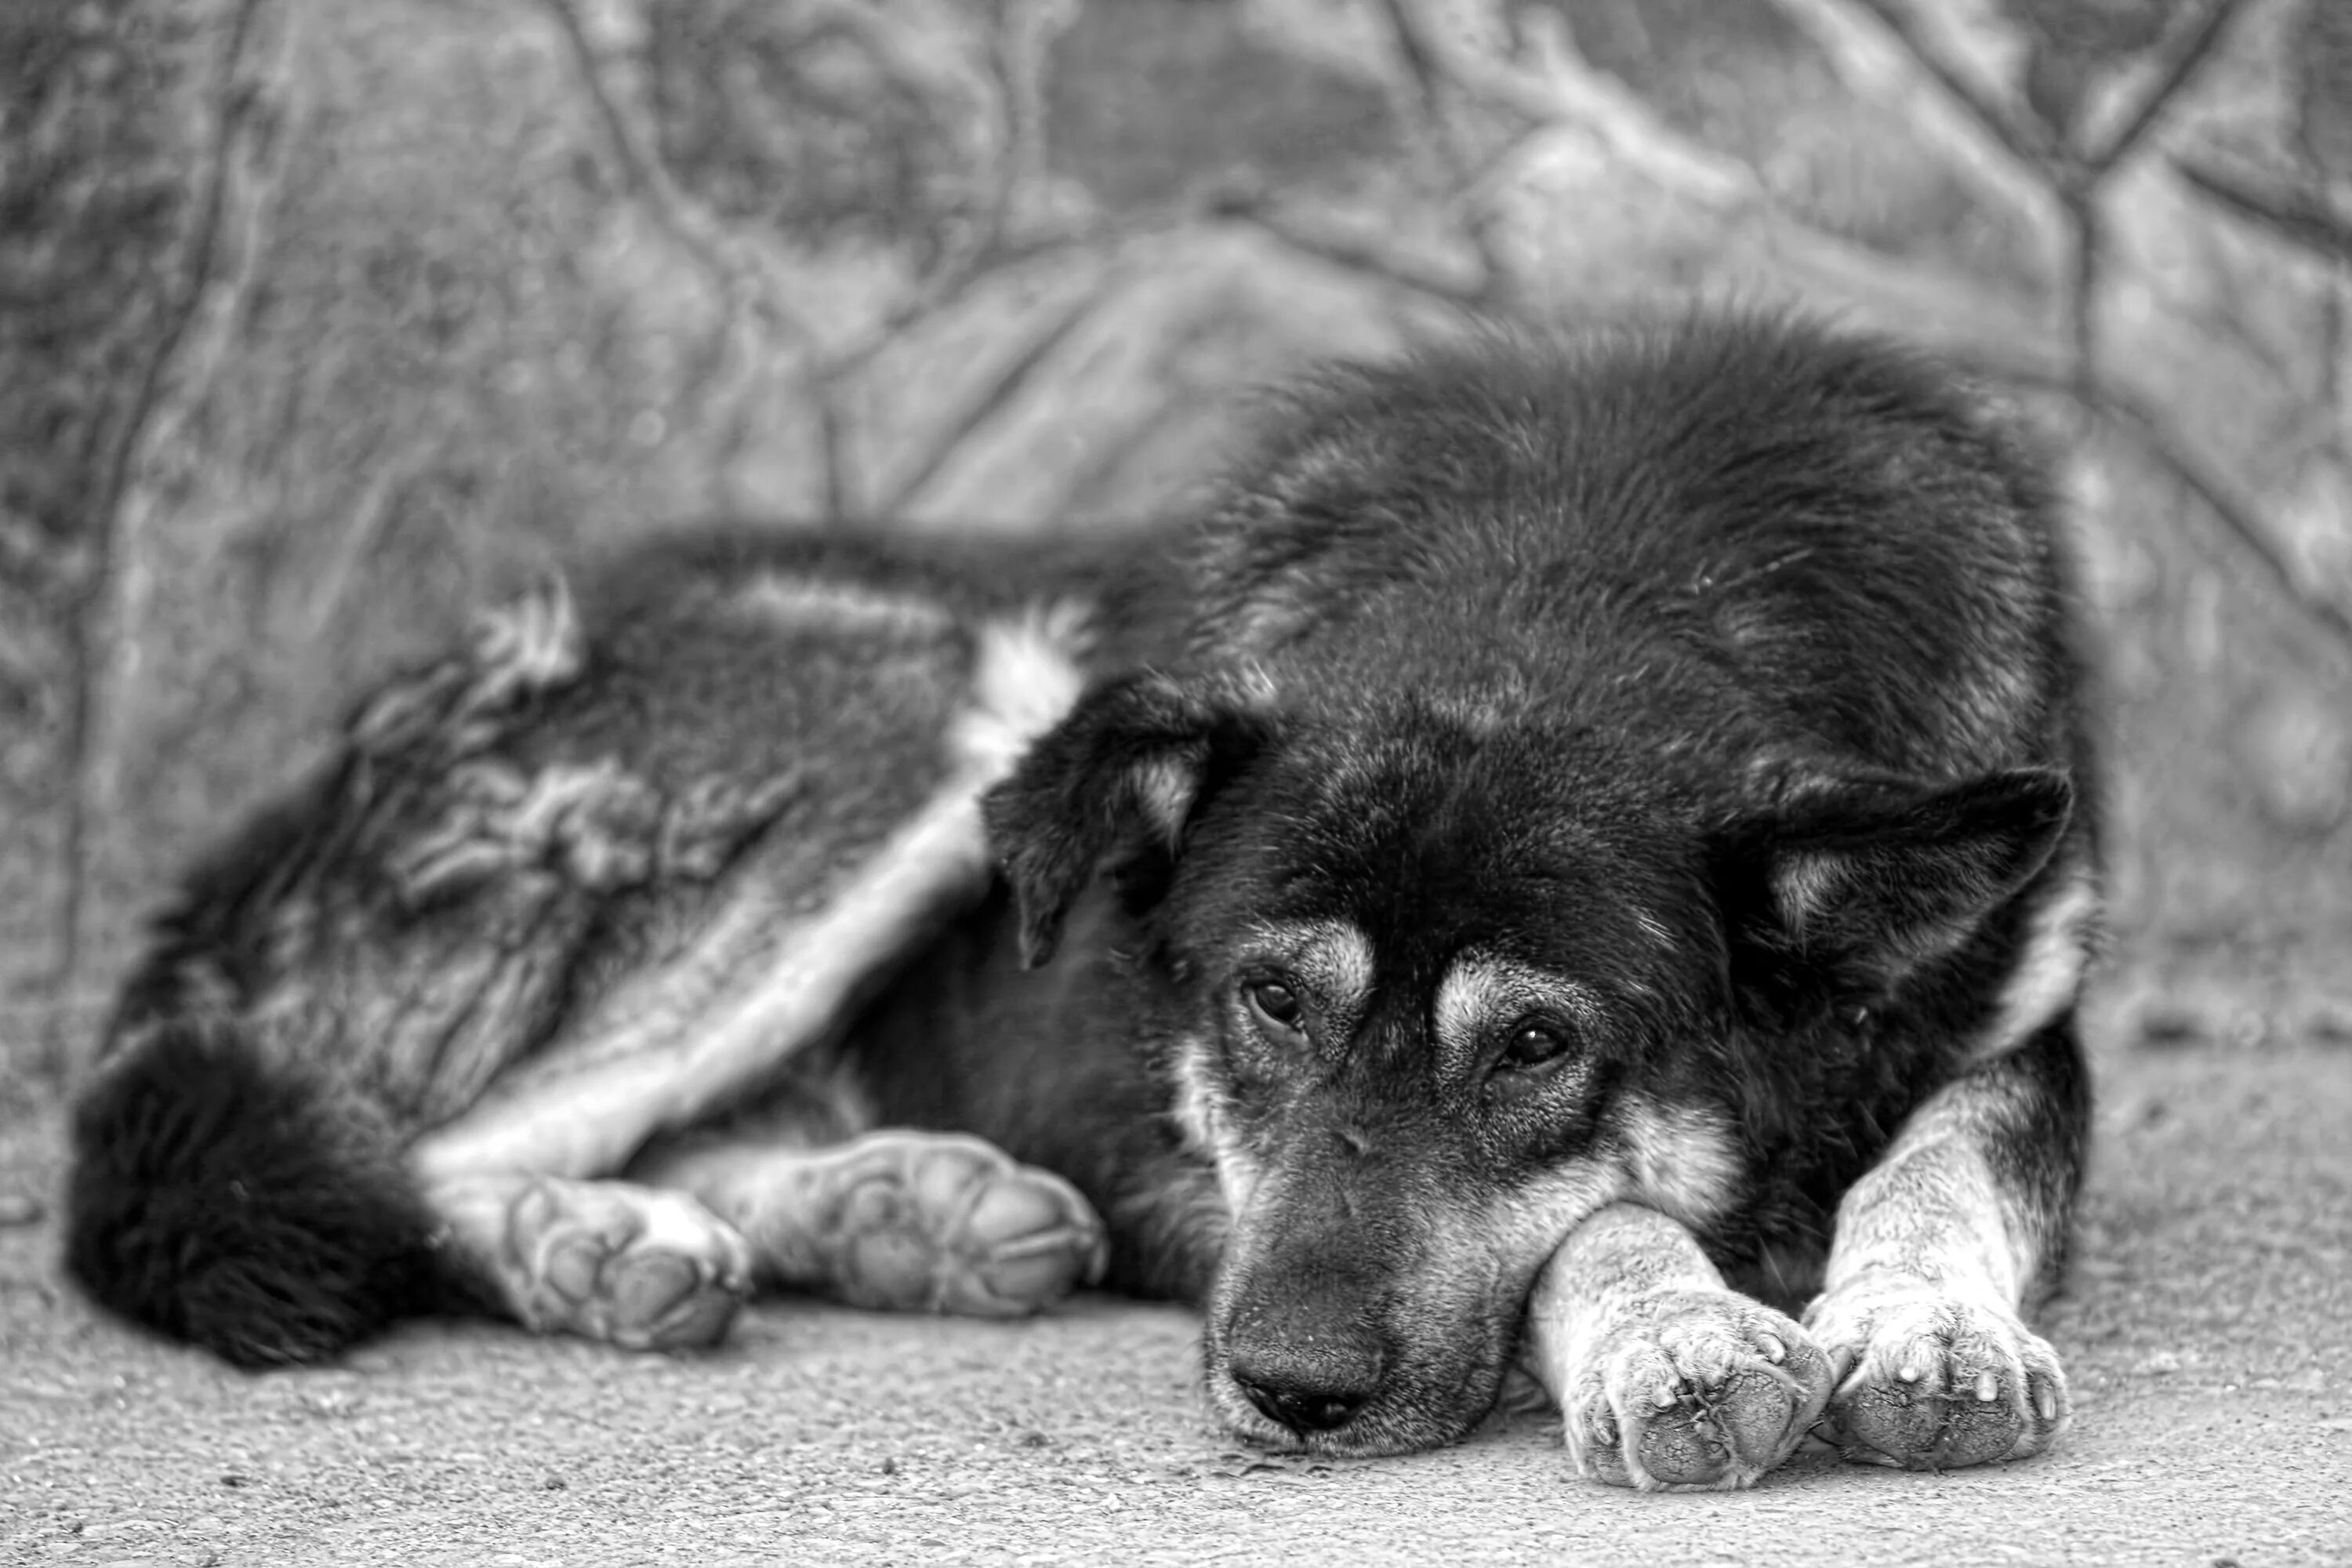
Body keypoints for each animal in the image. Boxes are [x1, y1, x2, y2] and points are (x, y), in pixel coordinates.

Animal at [60, 312, 2098, 1495]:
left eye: (1534, 1041)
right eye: (1265, 1000)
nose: (1287, 1390)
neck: (1587, 577)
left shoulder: (2027, 1031)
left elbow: (1941, 1169)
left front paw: (1926, 1325)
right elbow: (1591, 1223)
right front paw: (1677, 1327)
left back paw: (897, 1207)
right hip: (942, 684)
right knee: (414, 1146)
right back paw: (597, 1239)